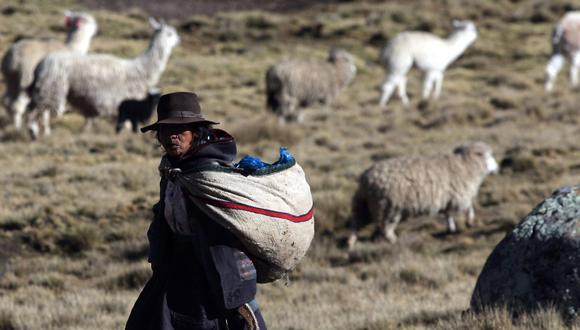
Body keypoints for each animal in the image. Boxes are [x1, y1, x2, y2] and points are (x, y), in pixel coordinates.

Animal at [26, 18, 179, 137]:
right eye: (170, 34)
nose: (179, 40)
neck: (140, 70)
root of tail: (41, 64)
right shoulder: (121, 102)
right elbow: (125, 125)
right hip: (53, 87)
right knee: (40, 110)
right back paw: (35, 131)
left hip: (45, 87)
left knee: (36, 108)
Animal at [346, 141, 500, 246]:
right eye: (489, 156)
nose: (497, 167)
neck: (465, 165)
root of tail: (366, 179)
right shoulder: (460, 195)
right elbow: (468, 208)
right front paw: (469, 222)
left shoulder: (449, 199)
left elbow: (448, 214)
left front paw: (451, 228)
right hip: (389, 207)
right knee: (385, 228)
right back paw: (394, 240)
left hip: (364, 205)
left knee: (355, 224)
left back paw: (351, 243)